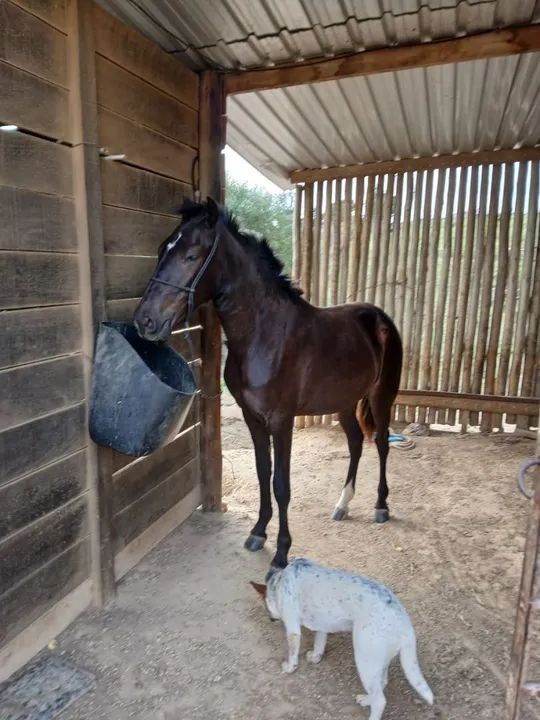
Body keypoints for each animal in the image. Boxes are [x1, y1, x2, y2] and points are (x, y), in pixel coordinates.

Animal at [134, 197, 403, 570]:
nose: (145, 321)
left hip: (381, 396)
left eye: (191, 255)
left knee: (381, 443)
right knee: (355, 443)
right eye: (163, 250)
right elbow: (263, 473)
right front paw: (259, 532)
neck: (264, 335)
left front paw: (282, 551)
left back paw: (380, 506)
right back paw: (343, 504)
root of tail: (380, 317)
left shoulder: (281, 421)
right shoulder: (253, 418)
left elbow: (281, 484)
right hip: (345, 402)